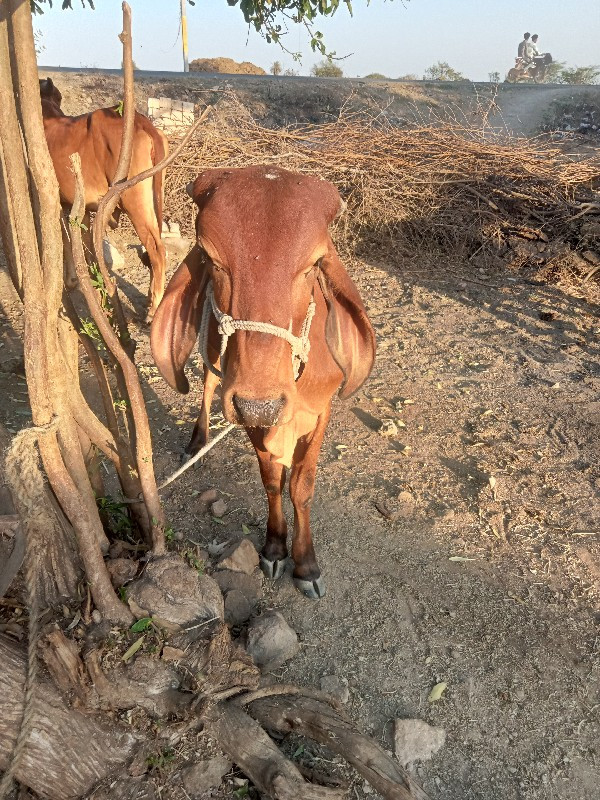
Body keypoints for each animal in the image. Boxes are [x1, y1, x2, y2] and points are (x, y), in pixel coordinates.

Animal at [39, 76, 169, 320]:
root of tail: (140, 121)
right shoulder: (81, 208)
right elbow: (85, 244)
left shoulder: (59, 203)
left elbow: (67, 242)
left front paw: (71, 280)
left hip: (133, 199)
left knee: (156, 248)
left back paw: (154, 309)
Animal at [150, 166, 376, 596]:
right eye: (210, 257)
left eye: (314, 264)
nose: (262, 404)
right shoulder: (248, 413)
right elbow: (272, 480)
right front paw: (274, 547)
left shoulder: (318, 413)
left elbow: (301, 487)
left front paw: (305, 564)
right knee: (208, 381)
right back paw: (198, 439)